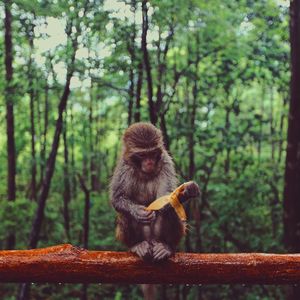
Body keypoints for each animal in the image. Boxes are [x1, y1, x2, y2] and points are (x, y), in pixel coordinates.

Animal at [109, 123, 200, 262]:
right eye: (142, 155)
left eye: (152, 153)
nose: (149, 162)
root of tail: (151, 240)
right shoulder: (124, 167)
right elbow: (117, 198)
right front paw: (138, 212)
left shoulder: (166, 161)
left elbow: (164, 199)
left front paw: (185, 192)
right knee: (125, 214)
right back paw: (137, 245)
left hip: (160, 236)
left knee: (171, 209)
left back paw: (167, 247)